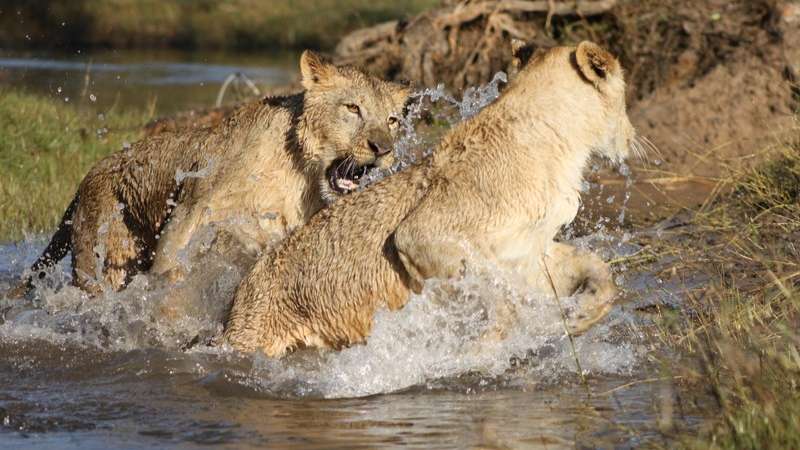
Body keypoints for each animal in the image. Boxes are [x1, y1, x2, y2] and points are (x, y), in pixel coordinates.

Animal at [9, 51, 410, 297]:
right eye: (353, 108)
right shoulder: (194, 204)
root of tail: (88, 176)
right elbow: (172, 262)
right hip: (105, 260)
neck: (300, 175)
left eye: (392, 119)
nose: (383, 148)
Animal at [223, 41, 638, 356]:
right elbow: (496, 295)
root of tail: (246, 283)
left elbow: (597, 268)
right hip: (252, 337)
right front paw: (480, 351)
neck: (561, 145)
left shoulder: (527, 250)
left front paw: (581, 317)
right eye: (624, 96)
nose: (633, 136)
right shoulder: (420, 235)